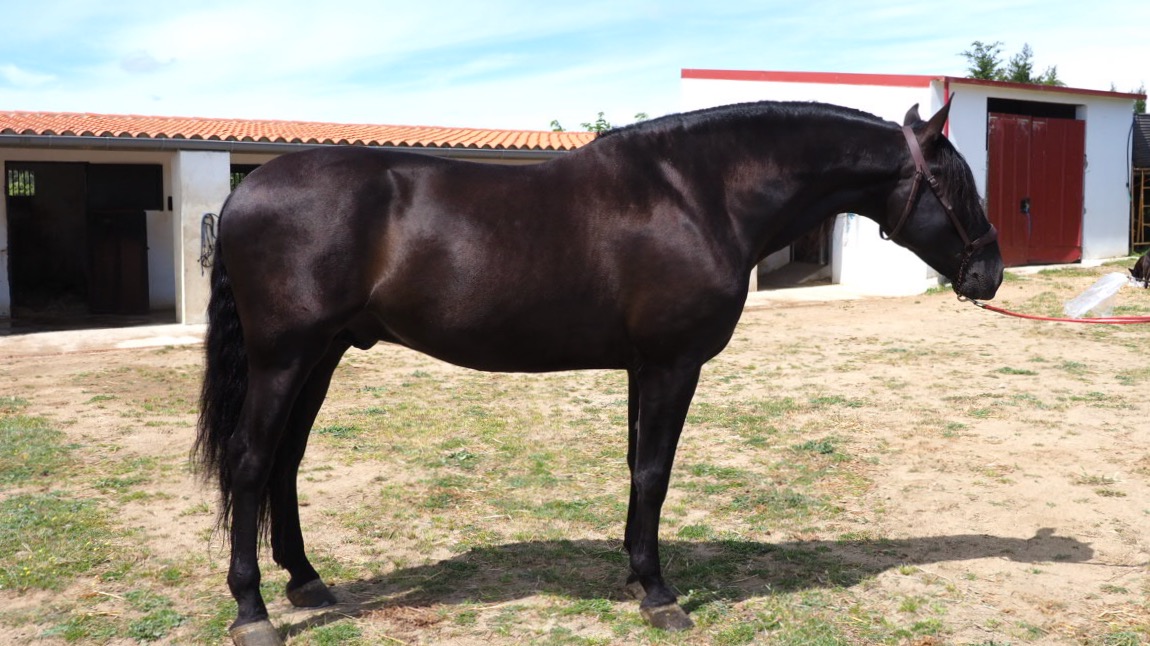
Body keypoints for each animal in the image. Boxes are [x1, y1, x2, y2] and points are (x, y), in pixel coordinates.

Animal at [195, 98, 1003, 645]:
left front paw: (635, 573)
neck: (698, 195)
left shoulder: (643, 366)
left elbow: (636, 468)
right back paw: (253, 610)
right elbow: (654, 471)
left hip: (322, 354)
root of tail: (244, 191)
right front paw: (660, 593)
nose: (990, 272)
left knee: (286, 463)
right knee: (251, 462)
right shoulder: (674, 364)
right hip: (284, 356)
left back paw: (306, 581)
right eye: (957, 186)